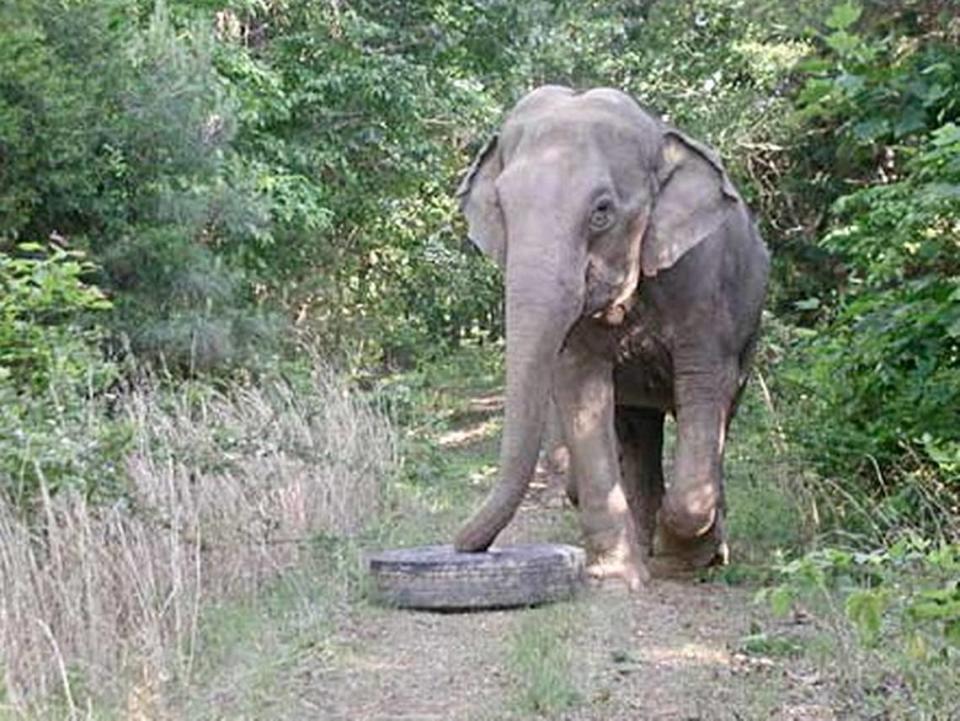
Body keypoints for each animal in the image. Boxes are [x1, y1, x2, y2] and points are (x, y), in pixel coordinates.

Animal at [454, 86, 768, 592]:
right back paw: (644, 541)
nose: (467, 548)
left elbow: (703, 385)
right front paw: (617, 579)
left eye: (601, 212)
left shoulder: (704, 285)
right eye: (500, 207)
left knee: (717, 414)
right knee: (638, 429)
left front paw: (682, 561)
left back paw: (704, 550)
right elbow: (581, 391)